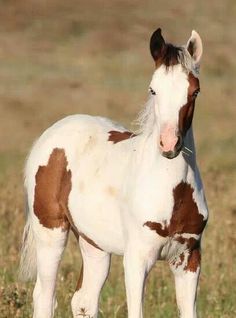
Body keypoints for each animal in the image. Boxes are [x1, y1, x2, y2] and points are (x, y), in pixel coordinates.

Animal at [20, 28, 208, 318]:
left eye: (195, 91)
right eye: (153, 89)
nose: (169, 145)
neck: (172, 190)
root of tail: (51, 132)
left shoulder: (188, 257)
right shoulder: (137, 257)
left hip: (94, 243)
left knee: (83, 300)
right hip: (50, 231)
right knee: (44, 296)